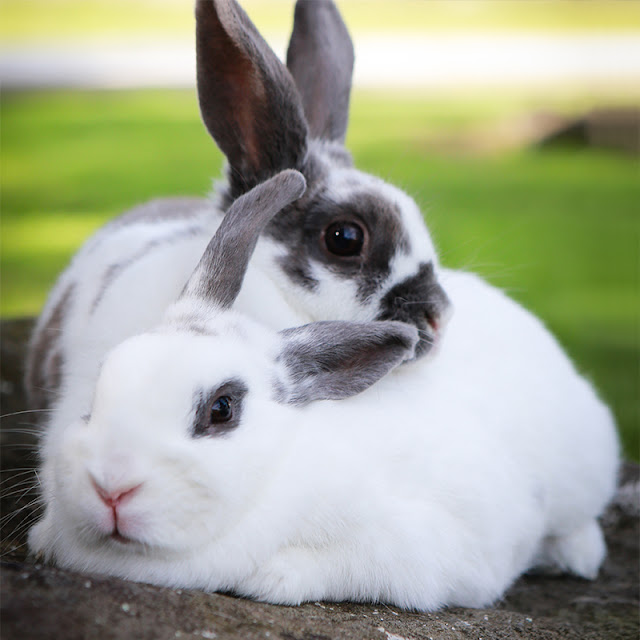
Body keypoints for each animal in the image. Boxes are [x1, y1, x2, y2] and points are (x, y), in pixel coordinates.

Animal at [28, 169, 620, 612]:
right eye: (99, 388)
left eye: (221, 409)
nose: (111, 487)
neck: (279, 466)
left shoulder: (435, 552)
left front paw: (276, 575)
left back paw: (574, 555)